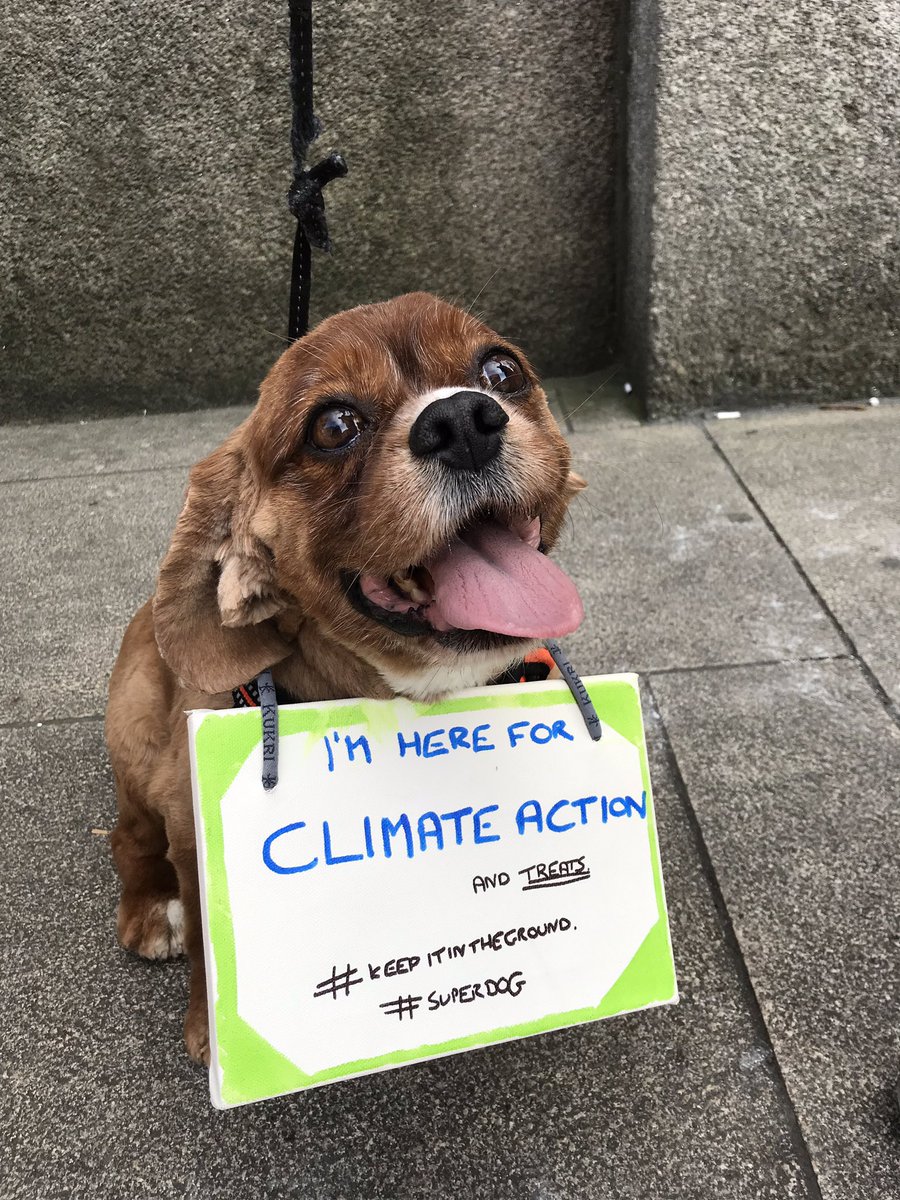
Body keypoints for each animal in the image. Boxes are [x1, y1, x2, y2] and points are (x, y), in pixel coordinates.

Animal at [105, 295, 585, 1065]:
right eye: (333, 426)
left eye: (501, 370)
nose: (462, 420)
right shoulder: (193, 818)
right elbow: (206, 930)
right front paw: (214, 1030)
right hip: (141, 745)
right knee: (128, 838)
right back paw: (152, 909)